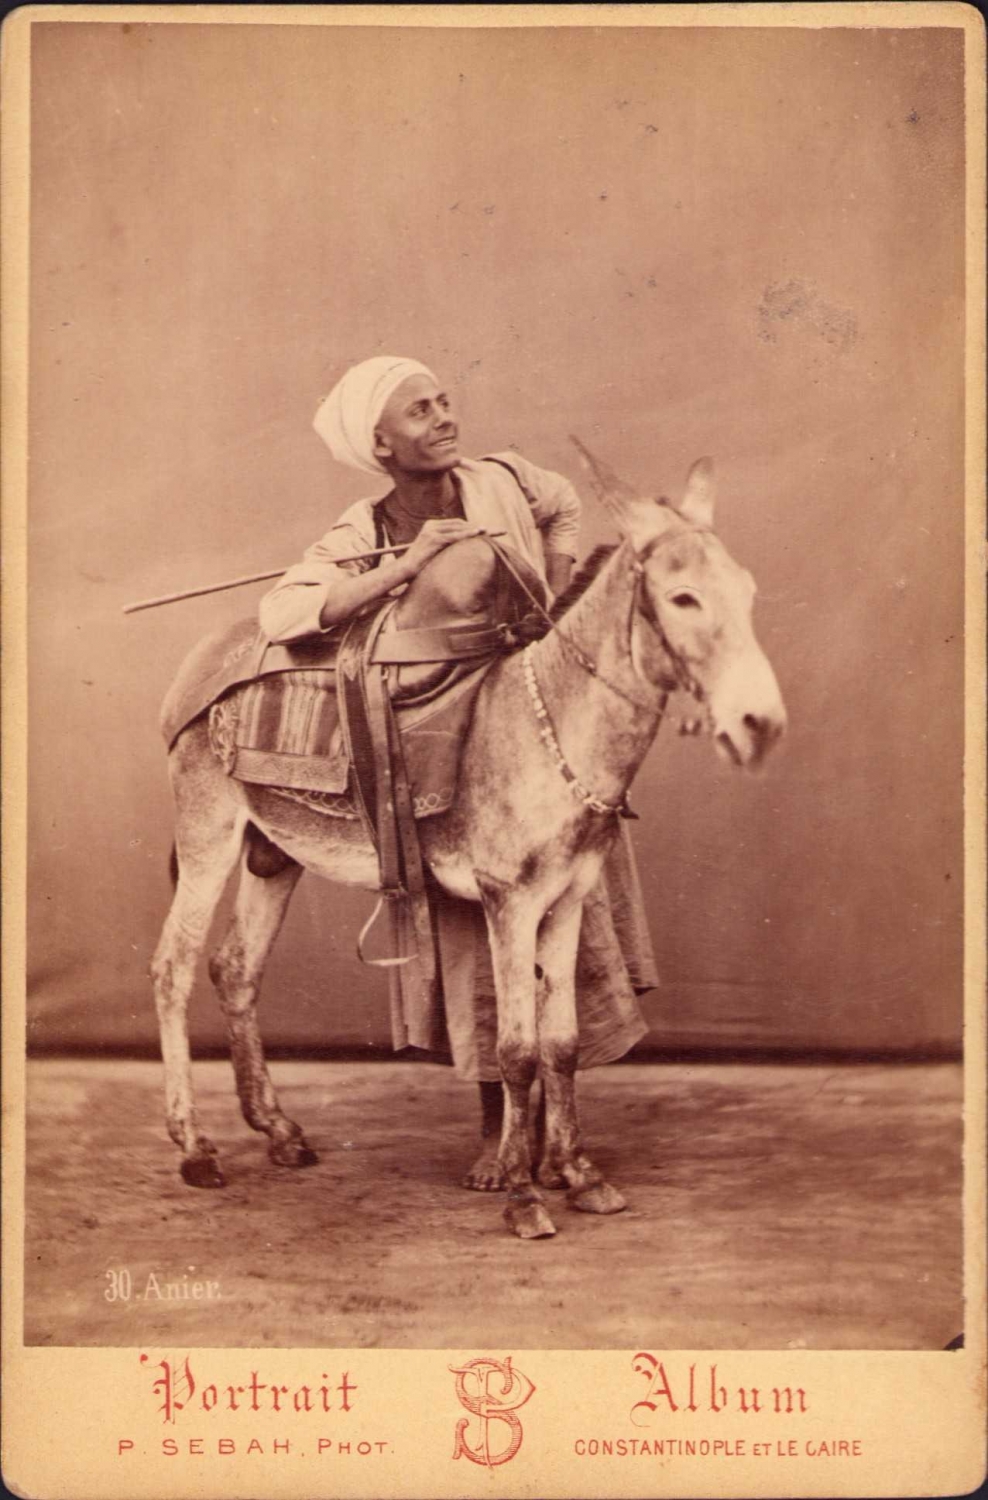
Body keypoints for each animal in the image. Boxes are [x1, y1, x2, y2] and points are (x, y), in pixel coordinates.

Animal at [150, 441, 786, 1239]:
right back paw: (194, 1148)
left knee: (235, 969)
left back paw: (280, 1132)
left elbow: (562, 1045)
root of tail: (209, 650)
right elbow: (515, 1050)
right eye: (683, 600)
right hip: (207, 832)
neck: (547, 724)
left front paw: (578, 1174)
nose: (761, 723)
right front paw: (521, 1193)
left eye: (750, 592)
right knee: (173, 969)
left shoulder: (567, 900)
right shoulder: (508, 903)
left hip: (276, 854)